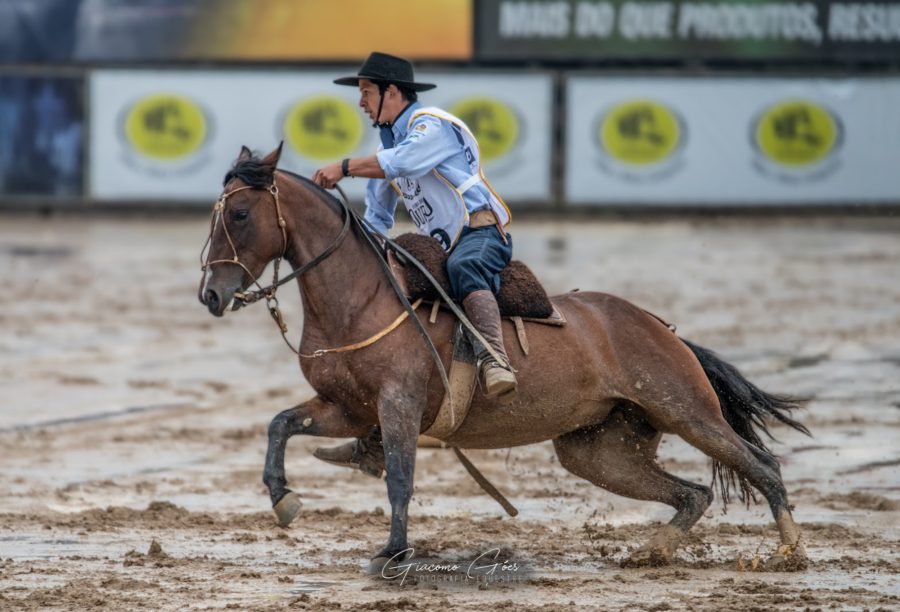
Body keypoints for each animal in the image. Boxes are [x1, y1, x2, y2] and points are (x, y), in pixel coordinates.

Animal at [198, 145, 810, 573]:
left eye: (241, 214)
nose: (210, 294)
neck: (364, 300)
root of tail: (664, 330)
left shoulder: (398, 405)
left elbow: (400, 478)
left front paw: (393, 552)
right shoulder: (347, 409)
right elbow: (281, 424)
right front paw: (283, 499)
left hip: (686, 409)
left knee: (762, 466)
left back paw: (789, 553)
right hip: (599, 451)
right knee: (694, 493)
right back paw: (650, 552)